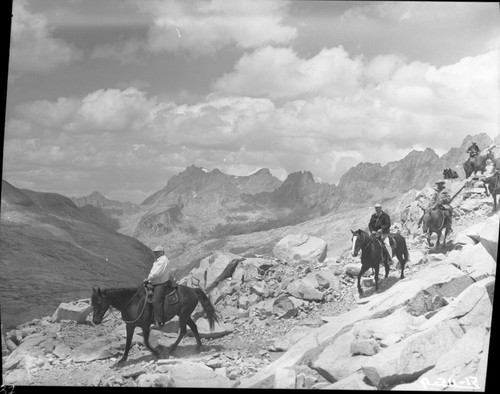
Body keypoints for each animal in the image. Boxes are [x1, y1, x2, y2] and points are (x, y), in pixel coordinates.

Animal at [91, 284, 219, 364]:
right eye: (92, 303)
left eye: (98, 302)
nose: (95, 321)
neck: (133, 303)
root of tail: (193, 290)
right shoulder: (130, 326)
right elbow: (128, 343)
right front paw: (122, 360)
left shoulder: (145, 325)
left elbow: (146, 342)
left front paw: (157, 353)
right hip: (184, 315)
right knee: (193, 327)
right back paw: (199, 347)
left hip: (184, 314)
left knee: (183, 330)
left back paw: (170, 351)